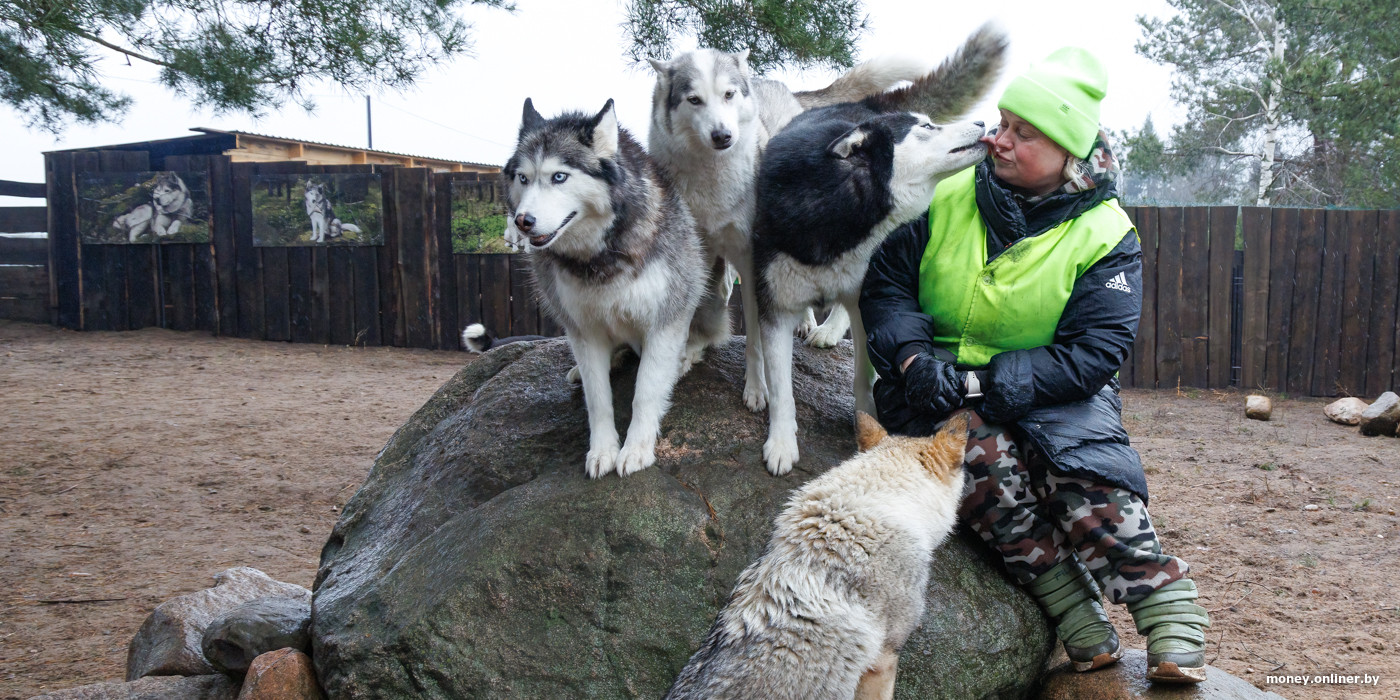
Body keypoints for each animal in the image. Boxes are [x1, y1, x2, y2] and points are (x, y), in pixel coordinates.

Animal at [504, 98, 705, 478]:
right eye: (524, 178)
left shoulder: (663, 322)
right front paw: (603, 450)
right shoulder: (584, 330)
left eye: (559, 177)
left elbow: (645, 392)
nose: (523, 222)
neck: (599, 256)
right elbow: (598, 399)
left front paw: (637, 448)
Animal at [644, 51, 929, 411]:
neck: (711, 180)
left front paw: (756, 389)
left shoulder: (752, 262)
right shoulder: (699, 256)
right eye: (694, 99)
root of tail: (779, 86)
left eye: (728, 95)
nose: (723, 136)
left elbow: (754, 340)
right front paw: (681, 356)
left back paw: (810, 325)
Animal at [756, 24, 1008, 473]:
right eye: (926, 128)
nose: (982, 121)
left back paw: (829, 329)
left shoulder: (868, 298)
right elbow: (782, 388)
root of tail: (861, 106)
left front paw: (867, 423)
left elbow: (864, 375)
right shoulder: (774, 306)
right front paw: (782, 443)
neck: (836, 215)